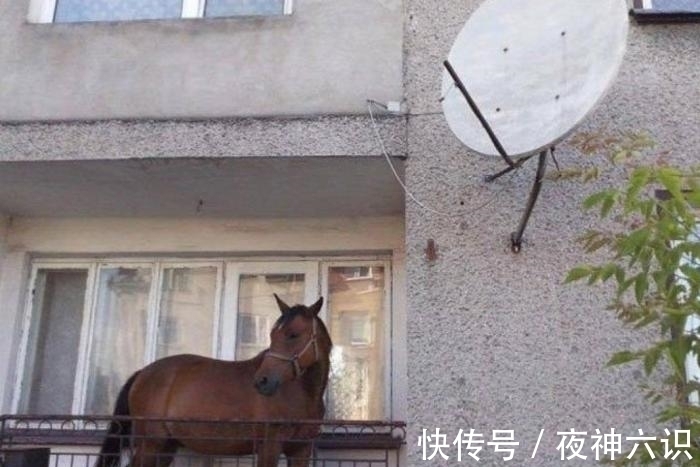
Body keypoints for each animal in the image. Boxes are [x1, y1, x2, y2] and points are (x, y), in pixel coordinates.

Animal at [96, 295, 331, 467]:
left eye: (293, 334)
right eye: (273, 336)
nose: (262, 382)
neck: (302, 393)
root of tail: (142, 372)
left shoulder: (300, 449)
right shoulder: (269, 447)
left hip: (165, 447)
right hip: (151, 444)